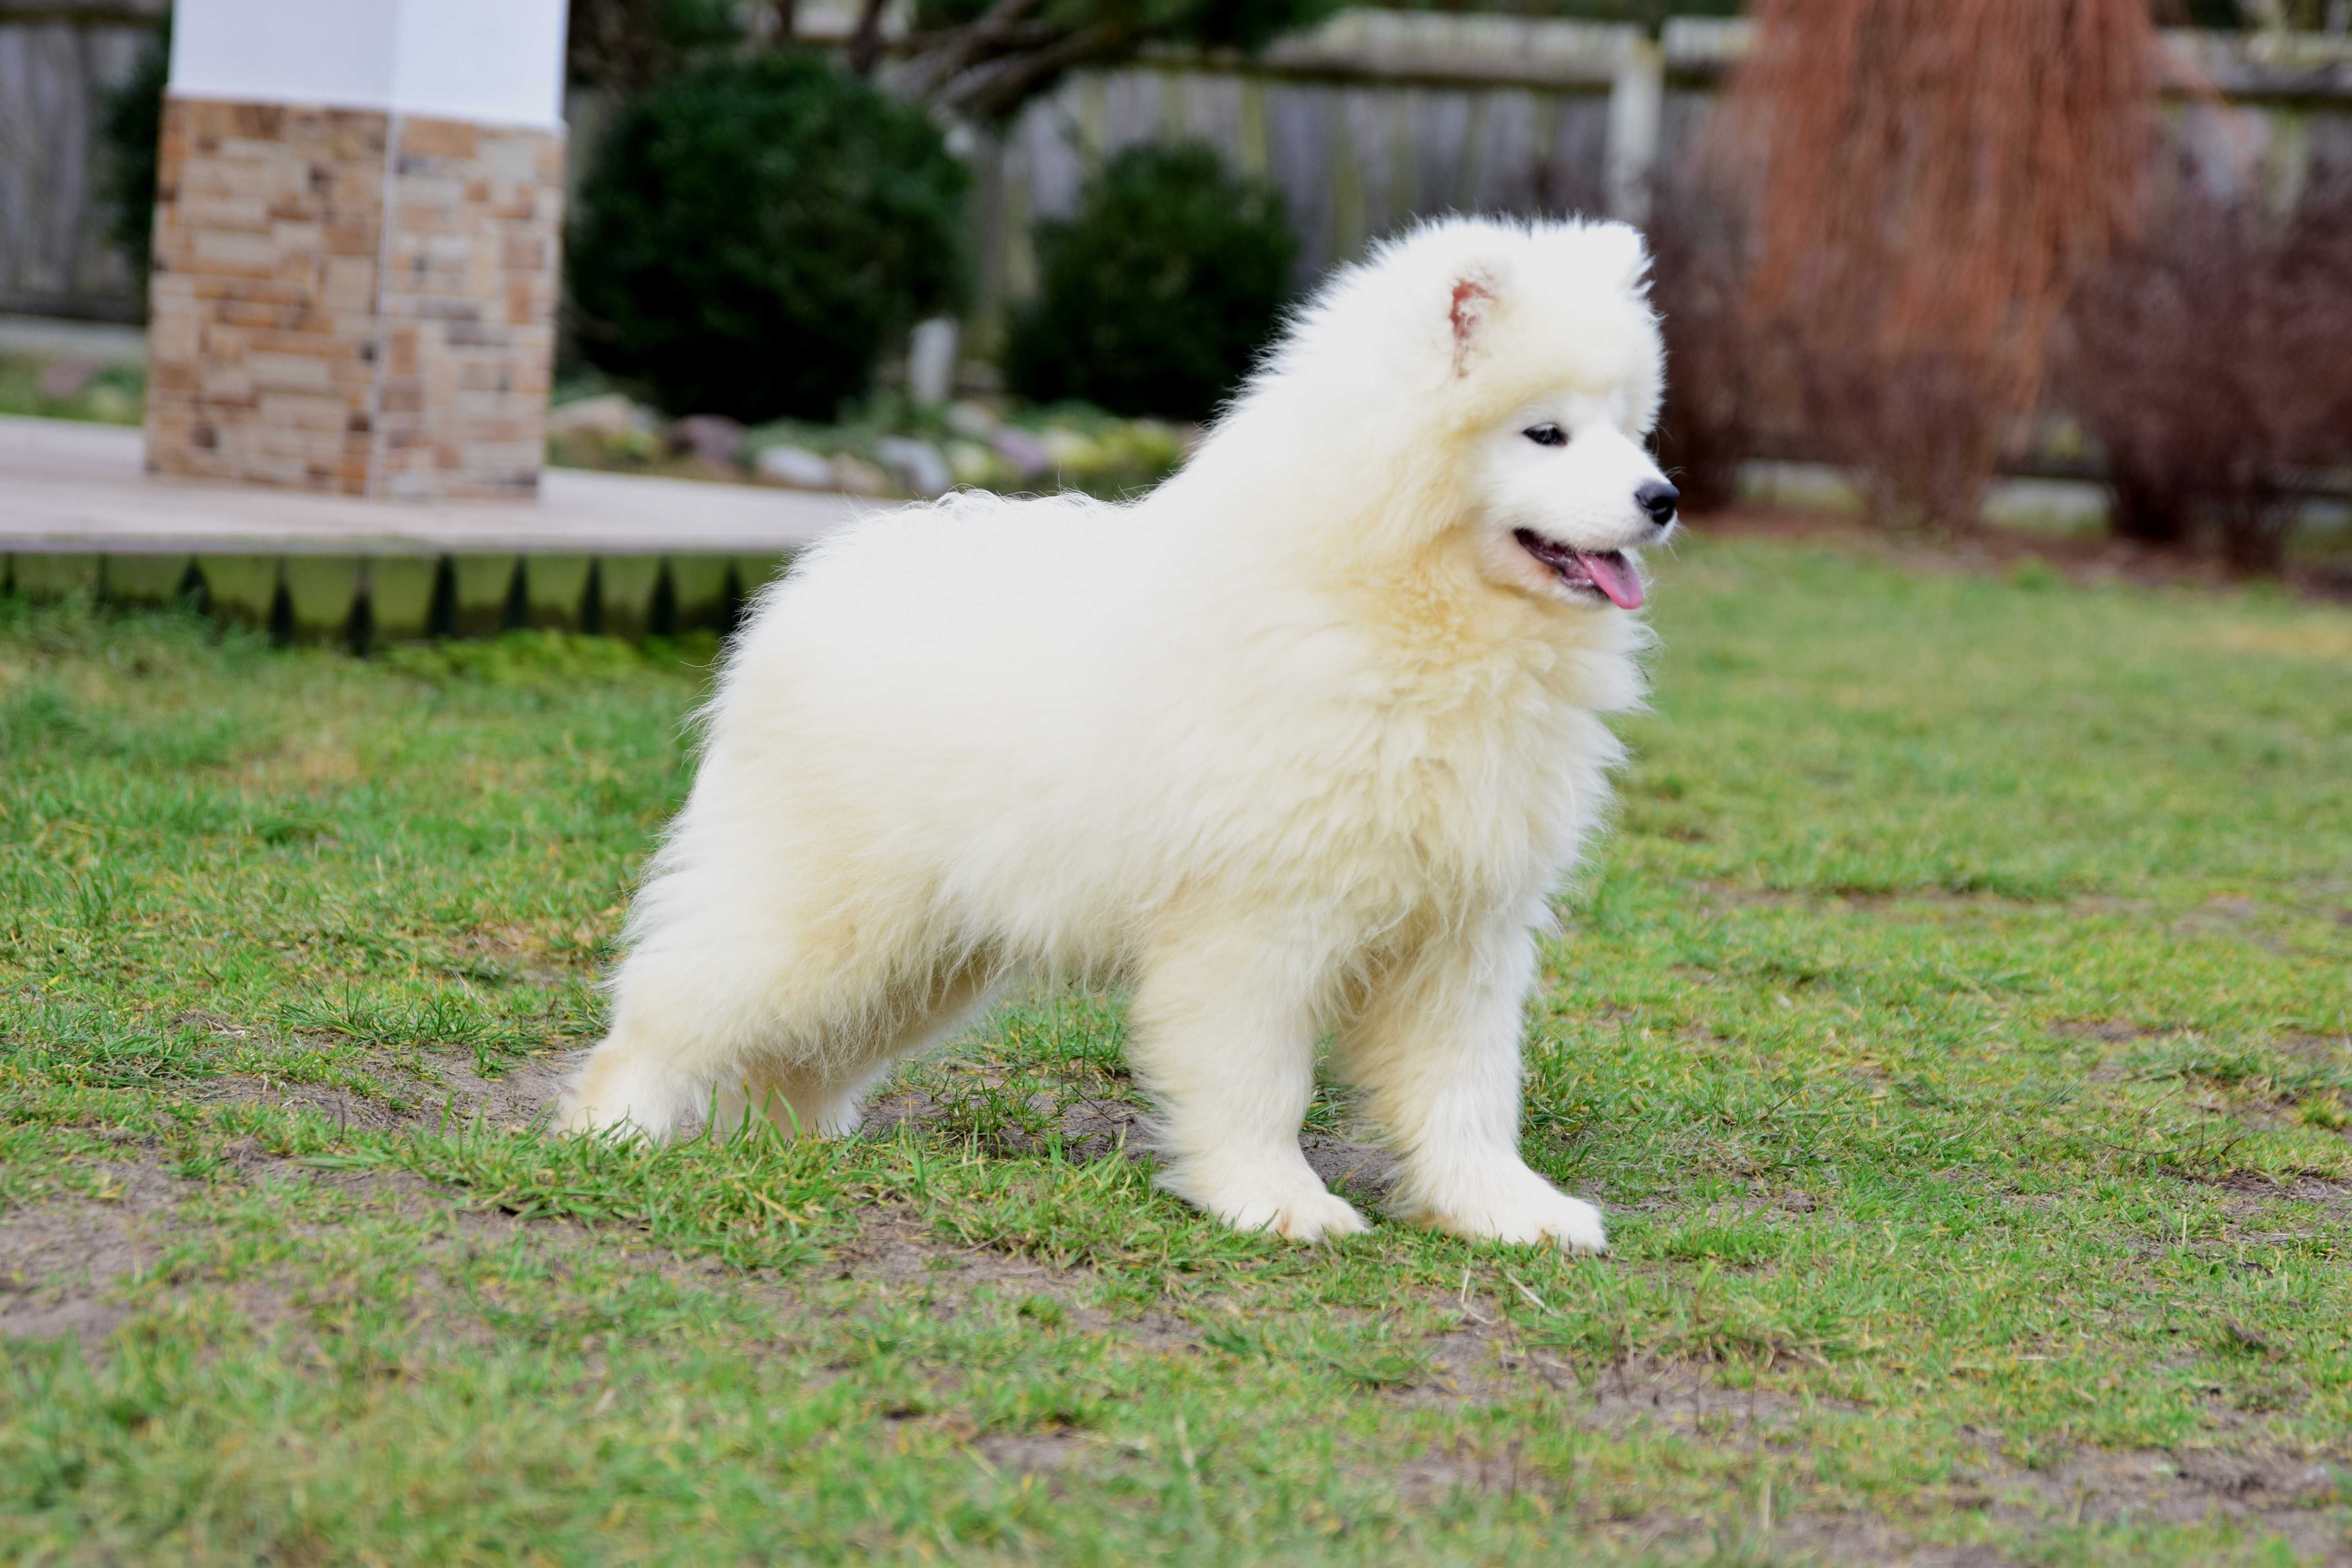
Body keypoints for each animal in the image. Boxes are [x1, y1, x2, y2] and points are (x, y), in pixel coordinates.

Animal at [564, 217, 1675, 1250]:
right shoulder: (1258, 921)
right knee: (669, 1007)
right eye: (1544, 434)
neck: (1390, 597)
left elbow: (1469, 1092)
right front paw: (1273, 1200)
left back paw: (789, 1149)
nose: (1662, 499)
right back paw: (611, 1128)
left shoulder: (1465, 927)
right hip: (816, 915)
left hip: (919, 952)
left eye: (1628, 430)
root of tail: (817, 577)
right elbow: (1258, 1080)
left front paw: (1503, 1209)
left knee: (801, 1052)